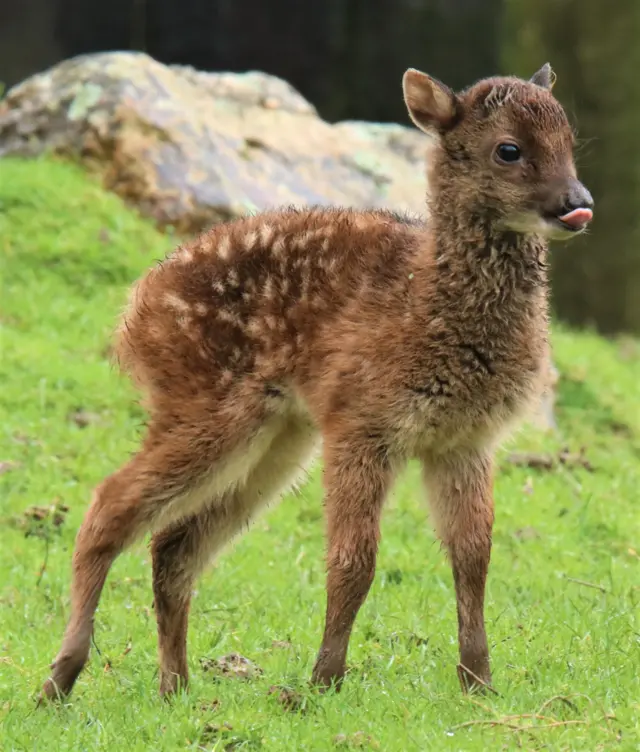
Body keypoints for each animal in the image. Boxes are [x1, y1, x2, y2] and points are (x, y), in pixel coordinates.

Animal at [42, 61, 596, 704]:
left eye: (569, 141)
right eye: (509, 149)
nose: (577, 203)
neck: (427, 302)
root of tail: (135, 312)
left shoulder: (465, 439)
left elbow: (474, 556)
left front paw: (478, 681)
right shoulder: (361, 419)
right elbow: (354, 559)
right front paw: (323, 679)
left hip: (279, 436)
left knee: (173, 543)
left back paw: (175, 686)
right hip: (206, 402)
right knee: (109, 504)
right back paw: (59, 679)